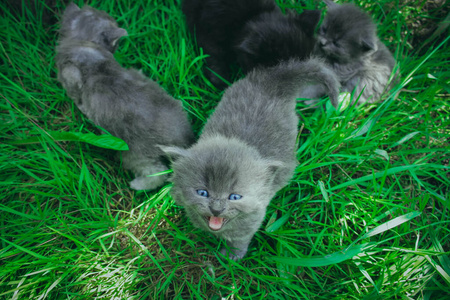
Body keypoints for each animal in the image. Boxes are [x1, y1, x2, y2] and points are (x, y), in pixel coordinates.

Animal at [55, 2, 193, 190]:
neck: (83, 42)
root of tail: (180, 136)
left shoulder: (70, 76)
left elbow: (75, 91)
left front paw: (81, 107)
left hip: (134, 153)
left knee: (157, 173)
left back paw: (136, 185)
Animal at [162, 57, 342, 258]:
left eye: (234, 197)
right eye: (202, 193)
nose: (216, 208)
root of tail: (273, 80)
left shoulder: (253, 218)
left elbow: (240, 238)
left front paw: (232, 256)